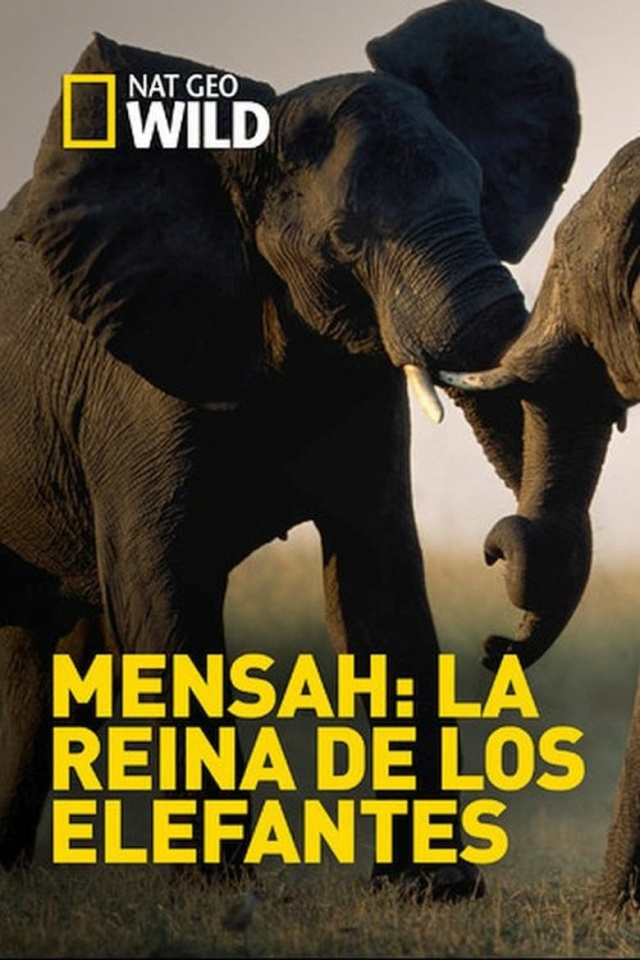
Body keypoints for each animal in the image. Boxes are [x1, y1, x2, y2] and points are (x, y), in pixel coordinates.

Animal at [0, 0, 580, 898]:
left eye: (482, 197)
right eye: (343, 241)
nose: (498, 645)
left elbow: (382, 587)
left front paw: (433, 896)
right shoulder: (137, 379)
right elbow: (160, 586)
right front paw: (213, 894)